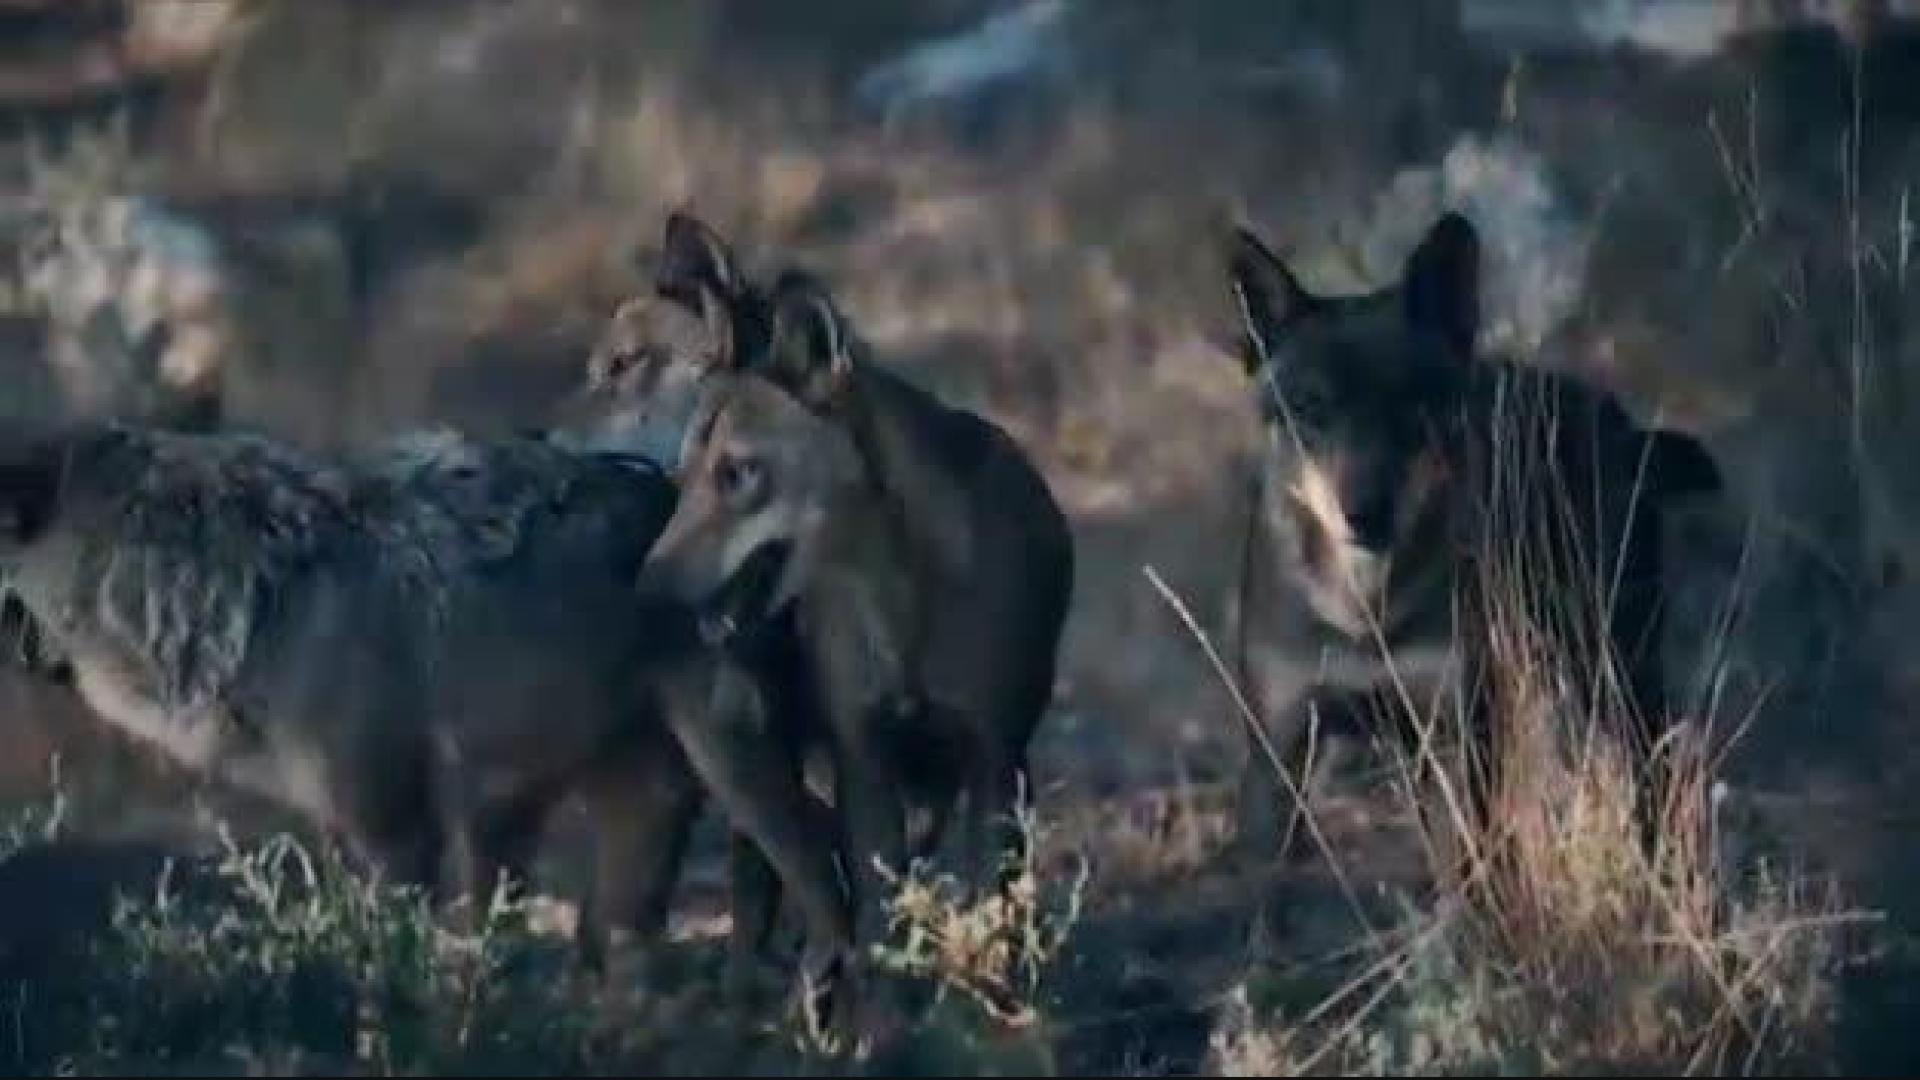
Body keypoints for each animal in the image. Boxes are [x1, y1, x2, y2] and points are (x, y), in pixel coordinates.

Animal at [0, 419, 856, 1007]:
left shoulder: (395, 826)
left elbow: (391, 958)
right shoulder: (416, 818)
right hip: (610, 798)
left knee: (825, 874)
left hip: (732, 760)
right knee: (628, 931)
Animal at [631, 258, 1077, 961]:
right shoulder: (862, 758)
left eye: (738, 473)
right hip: (737, 761)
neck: (898, 591)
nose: (645, 592)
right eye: (684, 481)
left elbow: (988, 917)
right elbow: (875, 921)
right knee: (796, 901)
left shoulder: (995, 756)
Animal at [1220, 211, 1724, 872]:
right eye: (1309, 406)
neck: (1366, 612)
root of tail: (1622, 422)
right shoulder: (1279, 748)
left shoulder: (1457, 735)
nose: (1365, 514)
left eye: (1408, 403)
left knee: (1653, 781)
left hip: (1616, 676)